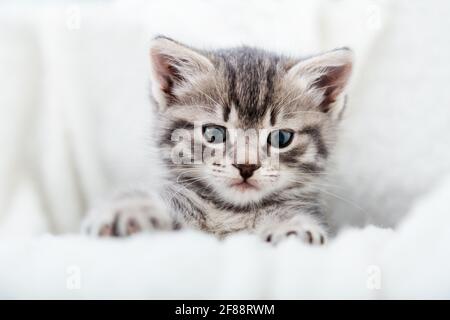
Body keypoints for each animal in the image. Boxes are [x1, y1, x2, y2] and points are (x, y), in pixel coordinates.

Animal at [82, 35, 354, 245]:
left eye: (281, 138)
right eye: (214, 134)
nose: (246, 166)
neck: (231, 213)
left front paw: (292, 226)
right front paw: (130, 209)